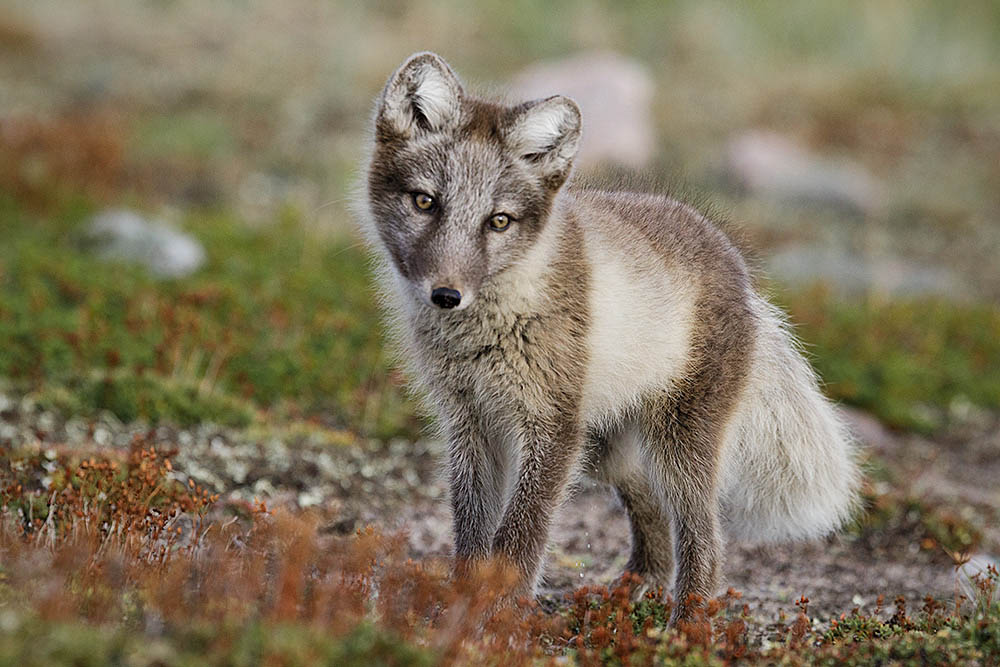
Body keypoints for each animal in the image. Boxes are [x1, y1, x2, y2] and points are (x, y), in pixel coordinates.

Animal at [360, 53, 860, 628]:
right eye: (425, 202)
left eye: (499, 221)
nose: (446, 295)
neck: (487, 327)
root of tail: (741, 273)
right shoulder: (470, 423)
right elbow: (472, 533)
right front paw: (461, 608)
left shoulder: (551, 429)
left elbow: (520, 536)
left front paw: (496, 618)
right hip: (602, 447)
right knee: (651, 506)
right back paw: (634, 589)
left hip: (677, 443)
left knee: (707, 538)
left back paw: (685, 627)